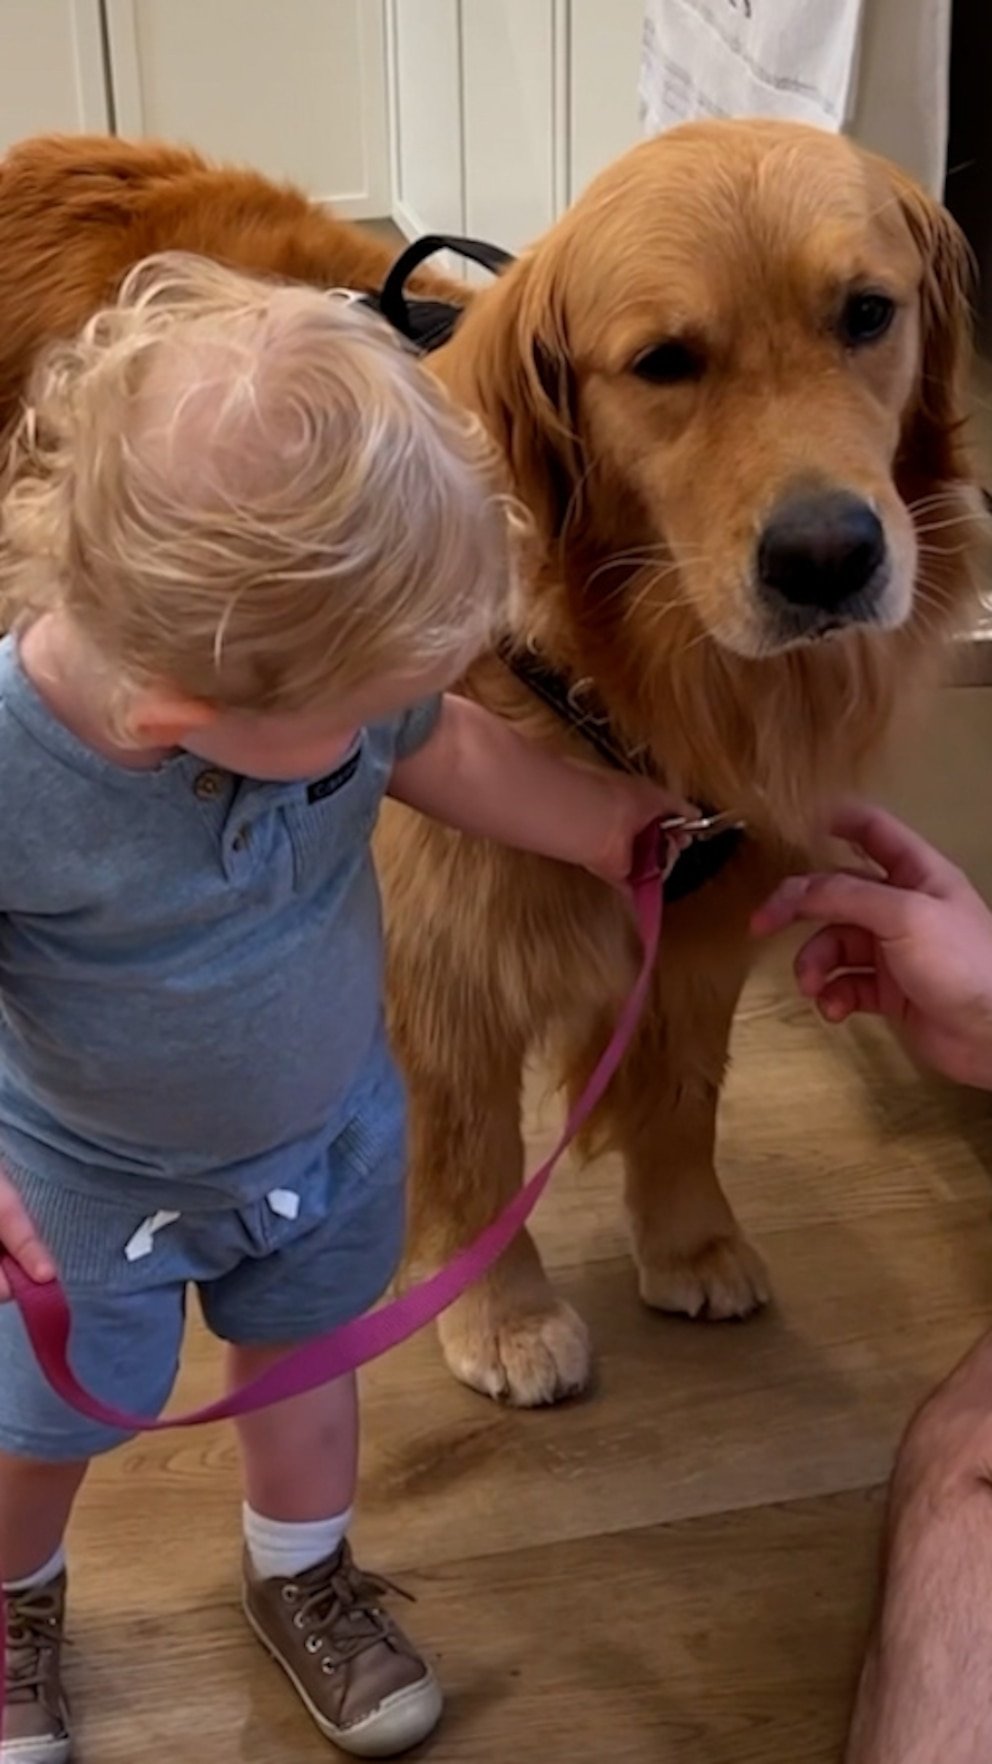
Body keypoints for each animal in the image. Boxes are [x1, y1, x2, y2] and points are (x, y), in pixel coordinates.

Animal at [0, 124, 981, 1404]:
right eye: (663, 362)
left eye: (866, 314)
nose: (825, 558)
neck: (622, 677)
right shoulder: (440, 954)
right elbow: (474, 1150)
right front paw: (502, 1313)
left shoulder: (700, 917)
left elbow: (683, 1092)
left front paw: (688, 1239)